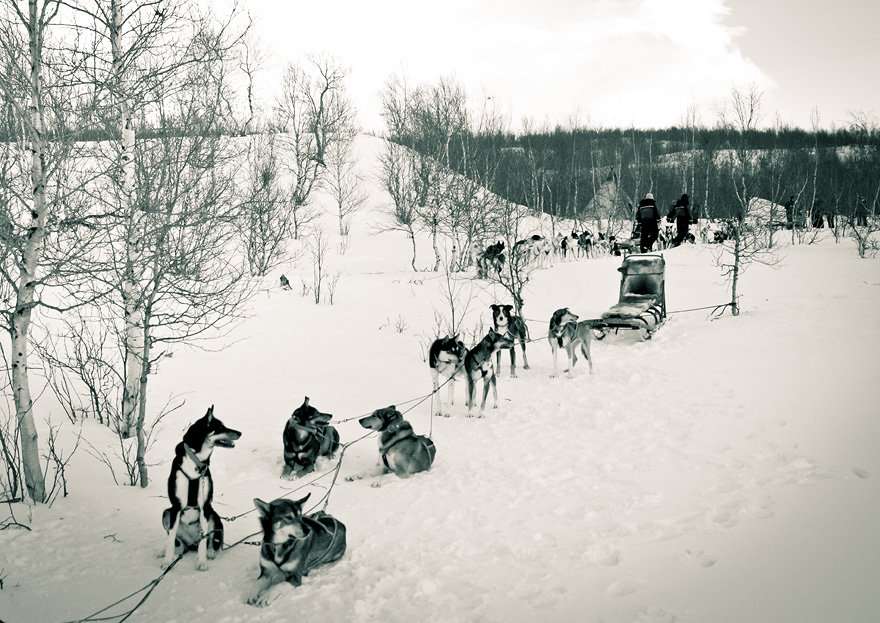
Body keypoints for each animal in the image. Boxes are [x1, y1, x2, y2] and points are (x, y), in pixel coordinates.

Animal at [162, 408, 241, 572]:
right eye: (220, 427)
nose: (240, 433)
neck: (196, 461)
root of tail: (191, 543)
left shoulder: (204, 507)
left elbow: (205, 541)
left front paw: (202, 561)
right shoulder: (176, 507)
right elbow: (171, 538)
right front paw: (167, 561)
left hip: (213, 516)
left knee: (209, 539)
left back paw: (210, 552)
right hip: (166, 513)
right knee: (177, 542)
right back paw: (170, 550)